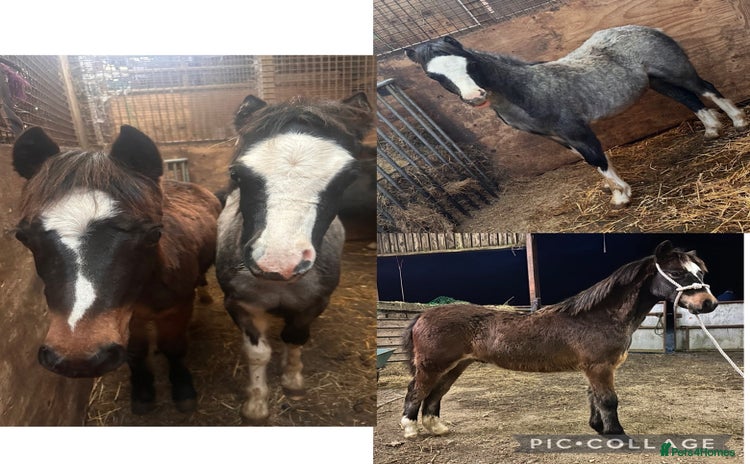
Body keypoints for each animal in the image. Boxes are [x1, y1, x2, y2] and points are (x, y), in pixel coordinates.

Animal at [12, 125, 221, 414]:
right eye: (23, 237)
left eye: (154, 234)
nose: (77, 357)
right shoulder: (127, 321)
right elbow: (136, 353)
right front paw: (143, 393)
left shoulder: (177, 310)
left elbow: (174, 347)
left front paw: (183, 390)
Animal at [215, 92, 374, 422]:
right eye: (237, 174)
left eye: (349, 177)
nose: (278, 261)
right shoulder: (239, 304)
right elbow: (258, 353)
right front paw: (256, 404)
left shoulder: (313, 304)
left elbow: (295, 337)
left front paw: (293, 381)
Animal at [399, 240, 718, 438]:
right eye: (676, 272)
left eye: (700, 272)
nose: (709, 303)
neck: (599, 316)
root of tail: (423, 315)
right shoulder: (599, 367)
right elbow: (608, 399)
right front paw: (617, 434)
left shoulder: (595, 369)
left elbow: (594, 398)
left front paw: (599, 428)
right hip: (432, 366)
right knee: (417, 391)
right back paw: (411, 429)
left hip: (455, 366)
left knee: (435, 394)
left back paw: (436, 428)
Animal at [405, 25, 748, 207]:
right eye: (434, 76)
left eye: (469, 63)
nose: (475, 97)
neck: (528, 90)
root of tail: (648, 29)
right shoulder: (558, 138)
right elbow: (589, 162)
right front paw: (615, 190)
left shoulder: (575, 129)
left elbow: (597, 158)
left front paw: (622, 197)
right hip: (657, 81)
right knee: (689, 99)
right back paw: (712, 130)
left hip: (675, 72)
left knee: (705, 89)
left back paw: (738, 121)